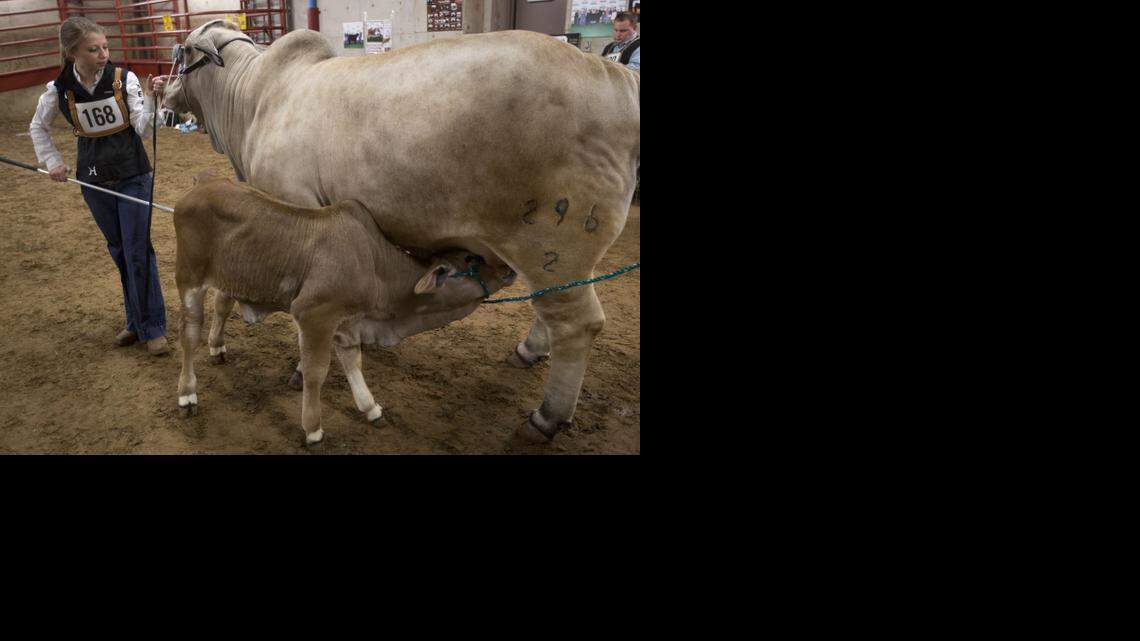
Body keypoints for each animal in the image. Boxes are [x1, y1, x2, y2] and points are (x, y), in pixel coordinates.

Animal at [174, 173, 515, 445]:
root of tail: (201, 185)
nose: (509, 269)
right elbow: (316, 372)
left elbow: (353, 362)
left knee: (221, 305)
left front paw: (371, 408)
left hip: (227, 278)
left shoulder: (349, 323)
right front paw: (313, 429)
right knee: (189, 334)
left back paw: (217, 350)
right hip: (188, 278)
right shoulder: (313, 314)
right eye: (472, 260)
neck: (375, 265)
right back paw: (187, 394)